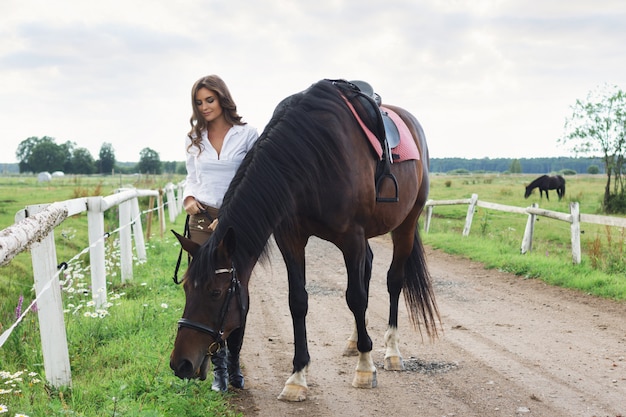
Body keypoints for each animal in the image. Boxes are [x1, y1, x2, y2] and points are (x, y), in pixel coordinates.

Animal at [168, 78, 436, 400]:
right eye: (185, 288)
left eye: (215, 292)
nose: (180, 364)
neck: (311, 155)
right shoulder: (291, 238)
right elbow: (298, 301)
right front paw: (297, 377)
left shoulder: (352, 239)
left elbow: (355, 297)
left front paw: (364, 367)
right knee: (369, 271)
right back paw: (354, 340)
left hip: (406, 223)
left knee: (394, 280)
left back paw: (391, 352)